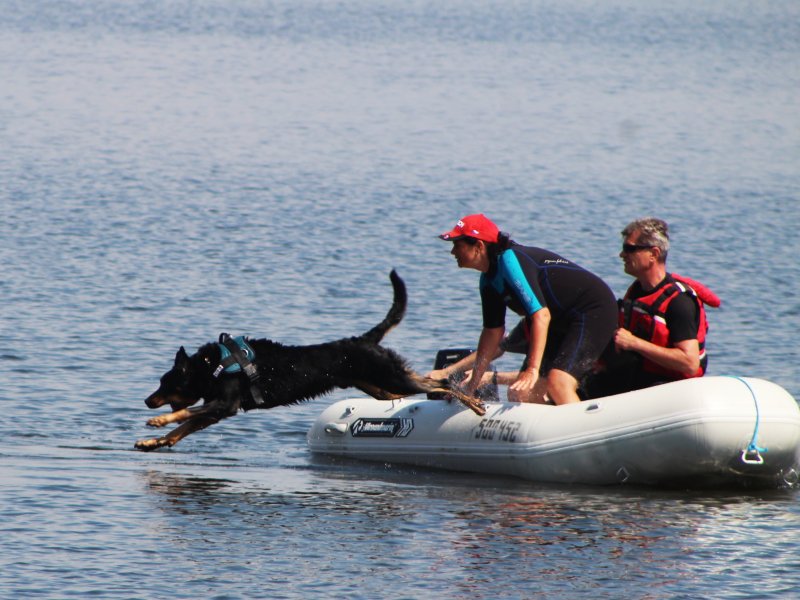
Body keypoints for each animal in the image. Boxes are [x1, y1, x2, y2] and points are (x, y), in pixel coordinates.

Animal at [135, 270, 484, 450]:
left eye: (165, 383)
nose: (147, 400)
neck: (212, 367)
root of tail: (365, 340)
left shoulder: (224, 405)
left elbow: (184, 413)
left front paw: (158, 422)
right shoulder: (216, 411)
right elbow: (182, 429)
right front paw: (154, 441)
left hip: (392, 378)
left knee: (439, 381)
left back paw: (473, 402)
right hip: (383, 389)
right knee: (421, 386)